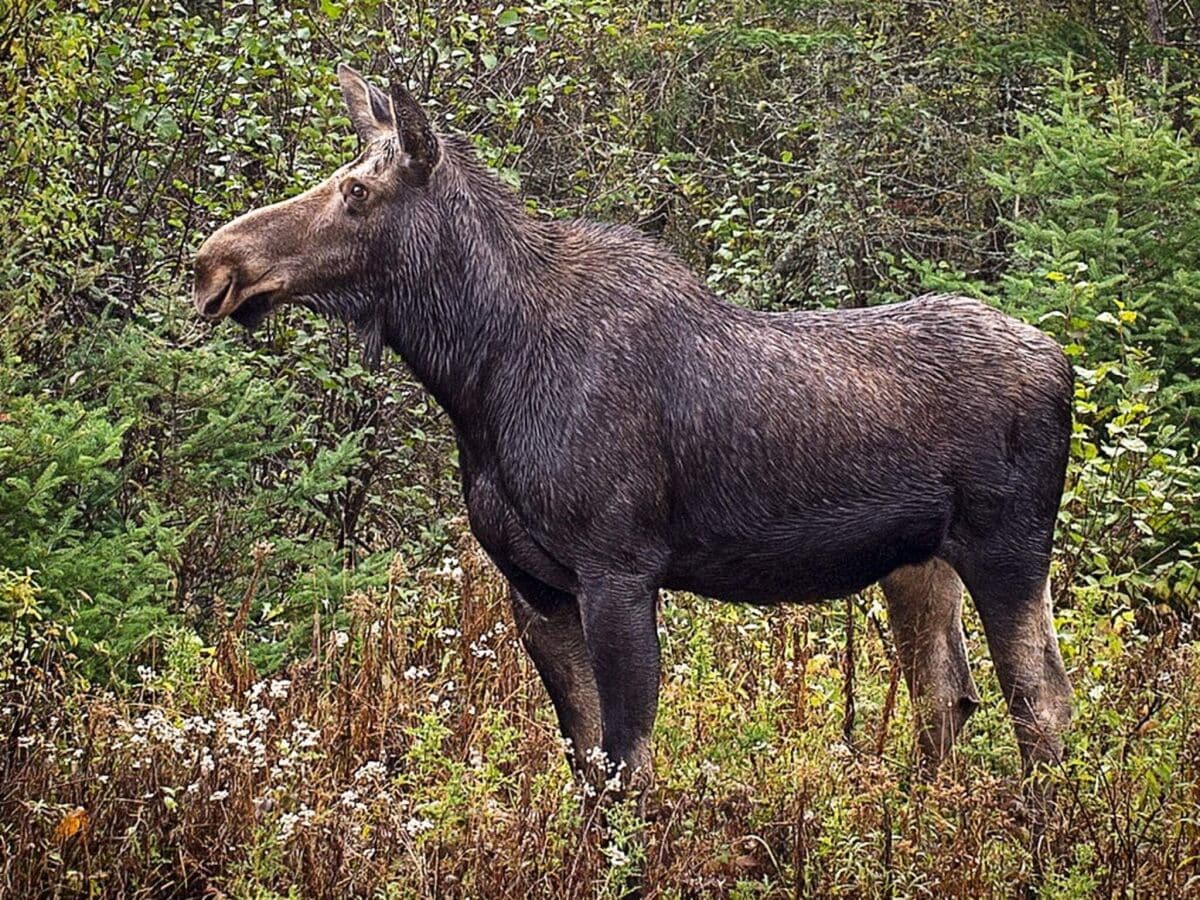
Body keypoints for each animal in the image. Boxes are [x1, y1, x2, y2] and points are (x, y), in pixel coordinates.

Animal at [192, 65, 1075, 796]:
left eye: (356, 193)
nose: (214, 264)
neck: (479, 374)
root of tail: (1064, 362)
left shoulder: (617, 567)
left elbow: (627, 767)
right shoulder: (534, 584)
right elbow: (586, 763)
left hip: (1009, 547)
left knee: (1041, 704)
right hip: (917, 562)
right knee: (948, 697)